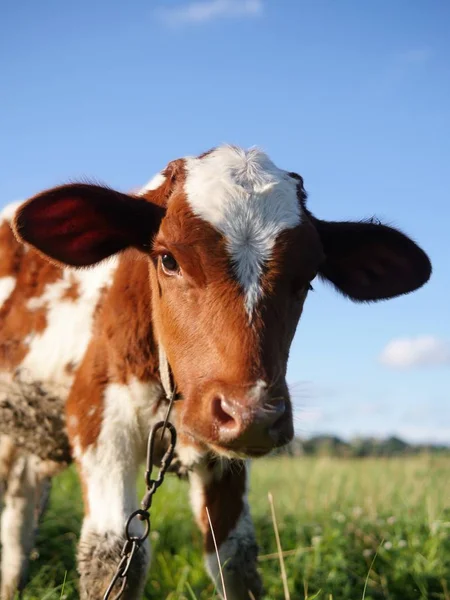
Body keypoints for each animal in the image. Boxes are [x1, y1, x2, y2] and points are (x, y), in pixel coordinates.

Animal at [0, 143, 430, 596]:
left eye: (309, 276)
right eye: (168, 259)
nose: (252, 413)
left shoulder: (228, 461)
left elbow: (234, 560)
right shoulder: (97, 417)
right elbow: (113, 558)